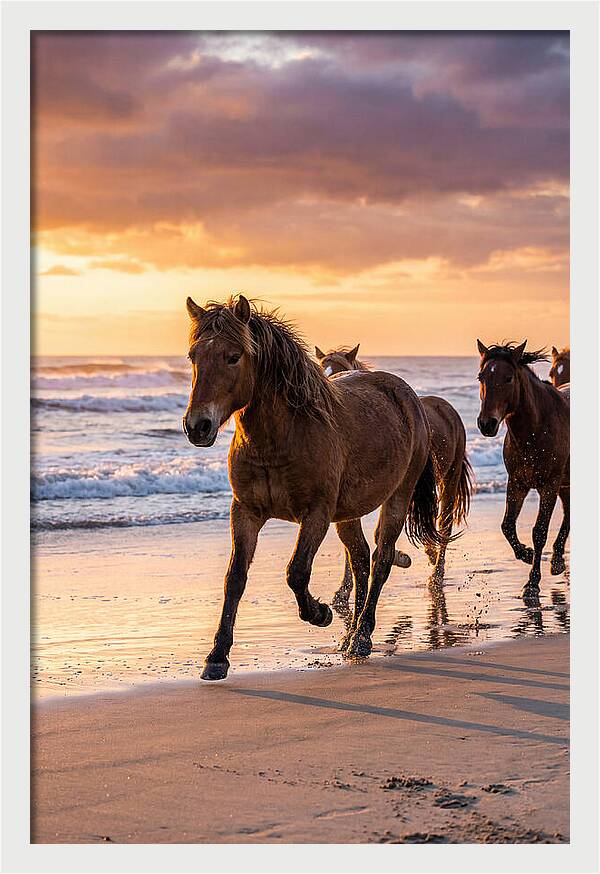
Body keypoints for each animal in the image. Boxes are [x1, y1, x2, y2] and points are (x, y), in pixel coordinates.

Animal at [183, 295, 444, 678]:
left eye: (233, 356)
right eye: (193, 356)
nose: (197, 426)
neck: (280, 438)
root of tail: (409, 397)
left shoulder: (316, 514)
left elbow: (296, 572)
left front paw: (320, 613)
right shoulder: (245, 512)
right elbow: (235, 578)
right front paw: (217, 657)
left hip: (396, 498)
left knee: (380, 559)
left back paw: (362, 636)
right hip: (347, 515)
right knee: (360, 560)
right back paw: (350, 637)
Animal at [316, 344, 473, 594]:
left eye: (341, 369)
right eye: (322, 368)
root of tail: (447, 408)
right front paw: (344, 588)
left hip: (449, 479)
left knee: (444, 526)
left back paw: (436, 575)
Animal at [476, 340, 569, 599]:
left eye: (508, 378)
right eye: (481, 377)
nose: (486, 424)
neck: (536, 429)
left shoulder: (549, 486)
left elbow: (539, 532)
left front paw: (532, 582)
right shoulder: (517, 483)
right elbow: (507, 525)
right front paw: (525, 554)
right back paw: (557, 559)